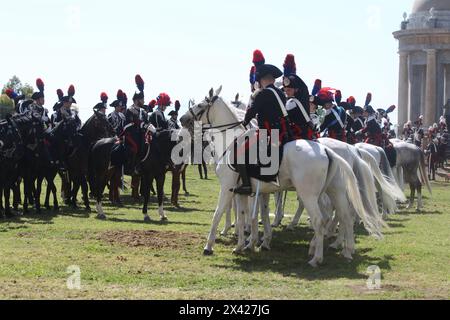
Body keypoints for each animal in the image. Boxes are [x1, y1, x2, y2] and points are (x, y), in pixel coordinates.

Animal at [179, 86, 384, 266]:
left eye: (200, 105)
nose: (182, 119)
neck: (232, 142)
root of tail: (329, 151)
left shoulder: (228, 188)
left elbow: (219, 213)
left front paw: (210, 246)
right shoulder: (245, 192)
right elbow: (247, 215)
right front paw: (243, 245)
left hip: (310, 195)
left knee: (321, 219)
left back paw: (316, 257)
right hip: (335, 191)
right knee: (345, 216)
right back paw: (344, 250)